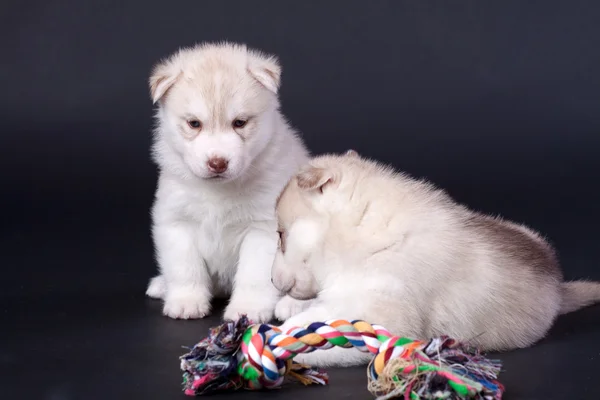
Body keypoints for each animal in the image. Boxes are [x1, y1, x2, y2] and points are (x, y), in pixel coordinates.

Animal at [143, 41, 308, 322]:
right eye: (194, 123)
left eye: (239, 122)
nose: (217, 163)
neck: (217, 190)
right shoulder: (176, 222)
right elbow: (184, 267)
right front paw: (186, 301)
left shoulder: (262, 229)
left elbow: (254, 275)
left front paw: (248, 308)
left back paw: (292, 305)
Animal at [270, 152, 600, 368]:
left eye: (281, 235)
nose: (272, 280)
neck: (364, 233)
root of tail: (558, 286)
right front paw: (289, 307)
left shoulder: (385, 316)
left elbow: (320, 330)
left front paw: (277, 337)